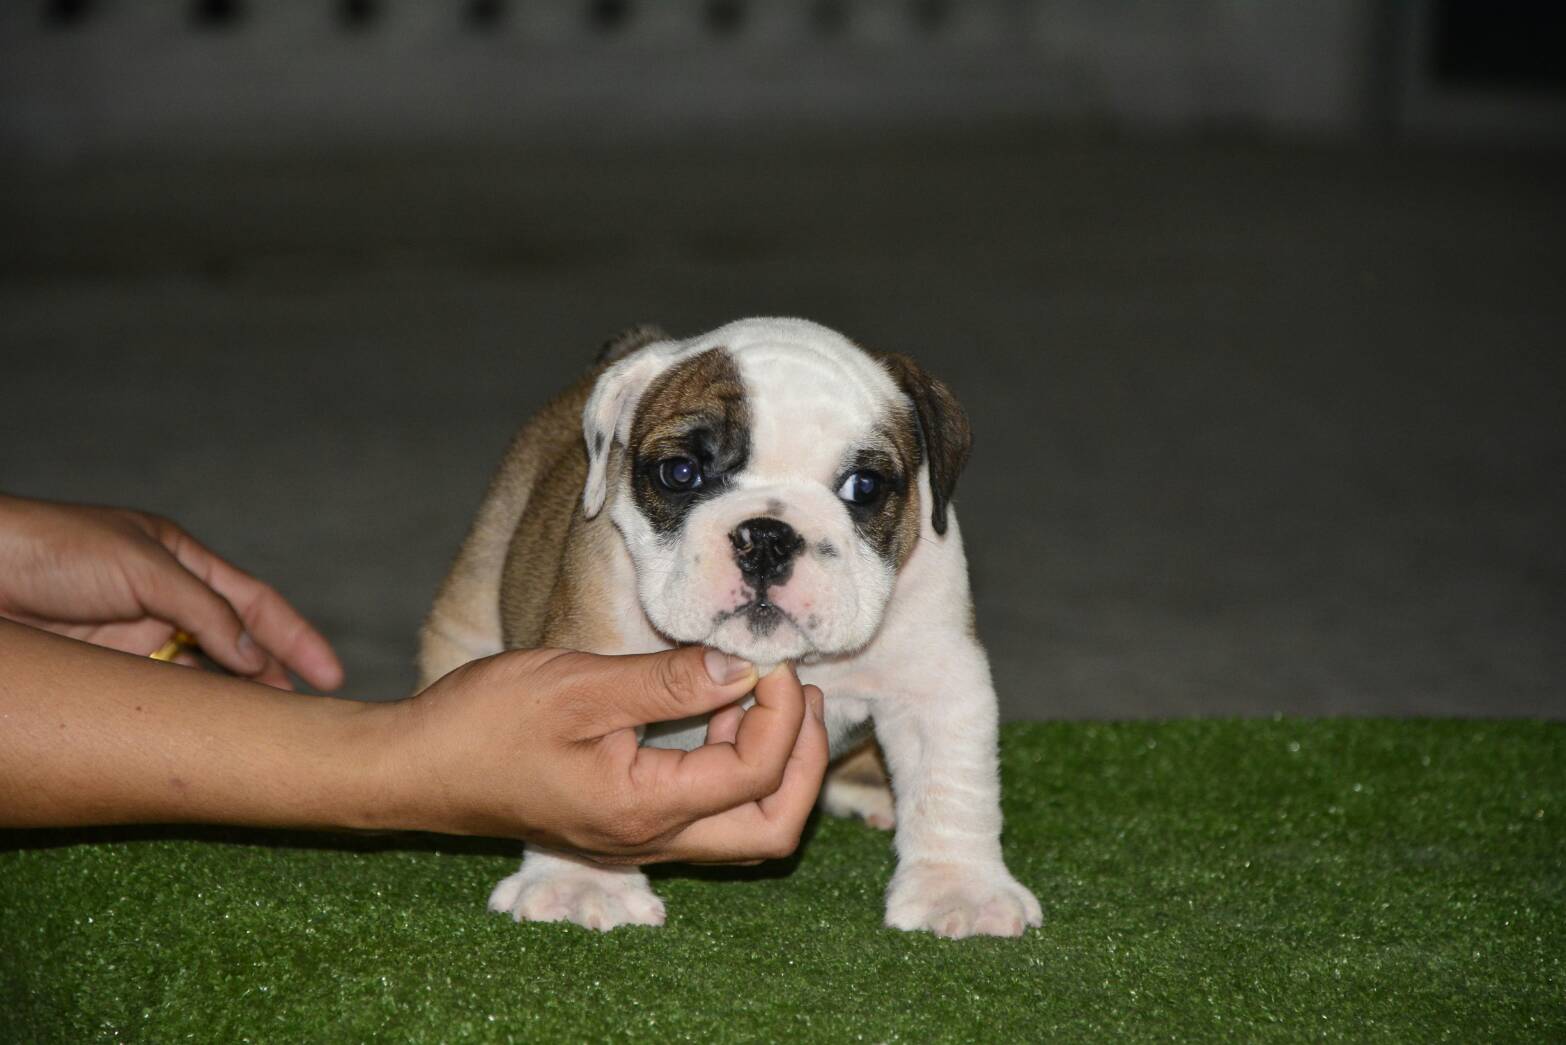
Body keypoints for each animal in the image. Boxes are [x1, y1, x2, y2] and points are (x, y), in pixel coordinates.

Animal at [419, 317, 1041, 938]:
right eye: (679, 473)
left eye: (864, 487)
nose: (766, 536)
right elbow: (579, 798)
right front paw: (580, 883)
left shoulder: (937, 682)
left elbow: (951, 787)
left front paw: (960, 889)